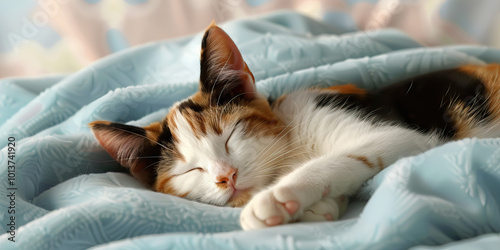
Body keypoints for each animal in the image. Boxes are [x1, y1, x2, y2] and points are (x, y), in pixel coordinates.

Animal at [90, 22, 500, 229]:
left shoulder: (404, 134)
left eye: (230, 136)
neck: (293, 146)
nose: (226, 177)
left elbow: (351, 156)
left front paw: (275, 198)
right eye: (191, 170)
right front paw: (320, 207)